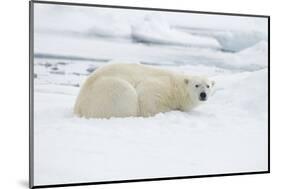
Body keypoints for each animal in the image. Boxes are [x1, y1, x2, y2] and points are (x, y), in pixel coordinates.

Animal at [72, 62, 214, 118]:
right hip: (110, 91)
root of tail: (79, 106)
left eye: (208, 85)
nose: (203, 95)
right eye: (197, 85)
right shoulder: (160, 85)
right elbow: (147, 97)